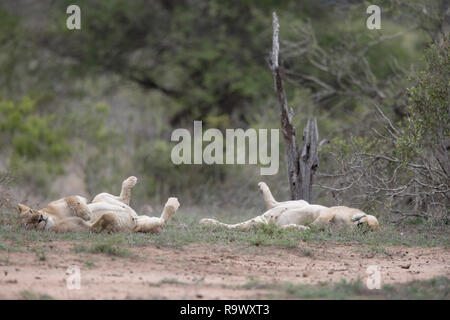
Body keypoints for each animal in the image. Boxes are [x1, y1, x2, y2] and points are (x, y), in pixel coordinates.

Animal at [17, 176, 179, 234]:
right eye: (28, 224)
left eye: (31, 212)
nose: (40, 218)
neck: (53, 219)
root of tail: (137, 217)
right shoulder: (85, 229)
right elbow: (104, 219)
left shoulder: (63, 201)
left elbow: (73, 198)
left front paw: (86, 212)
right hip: (145, 226)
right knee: (162, 222)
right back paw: (172, 203)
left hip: (98, 197)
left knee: (123, 201)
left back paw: (130, 181)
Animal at [200, 181, 380, 231]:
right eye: (366, 224)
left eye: (368, 230)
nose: (359, 224)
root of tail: (268, 217)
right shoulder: (333, 210)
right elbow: (324, 217)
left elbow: (310, 228)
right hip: (301, 202)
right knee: (276, 203)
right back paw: (262, 186)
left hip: (258, 222)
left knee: (236, 226)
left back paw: (205, 222)